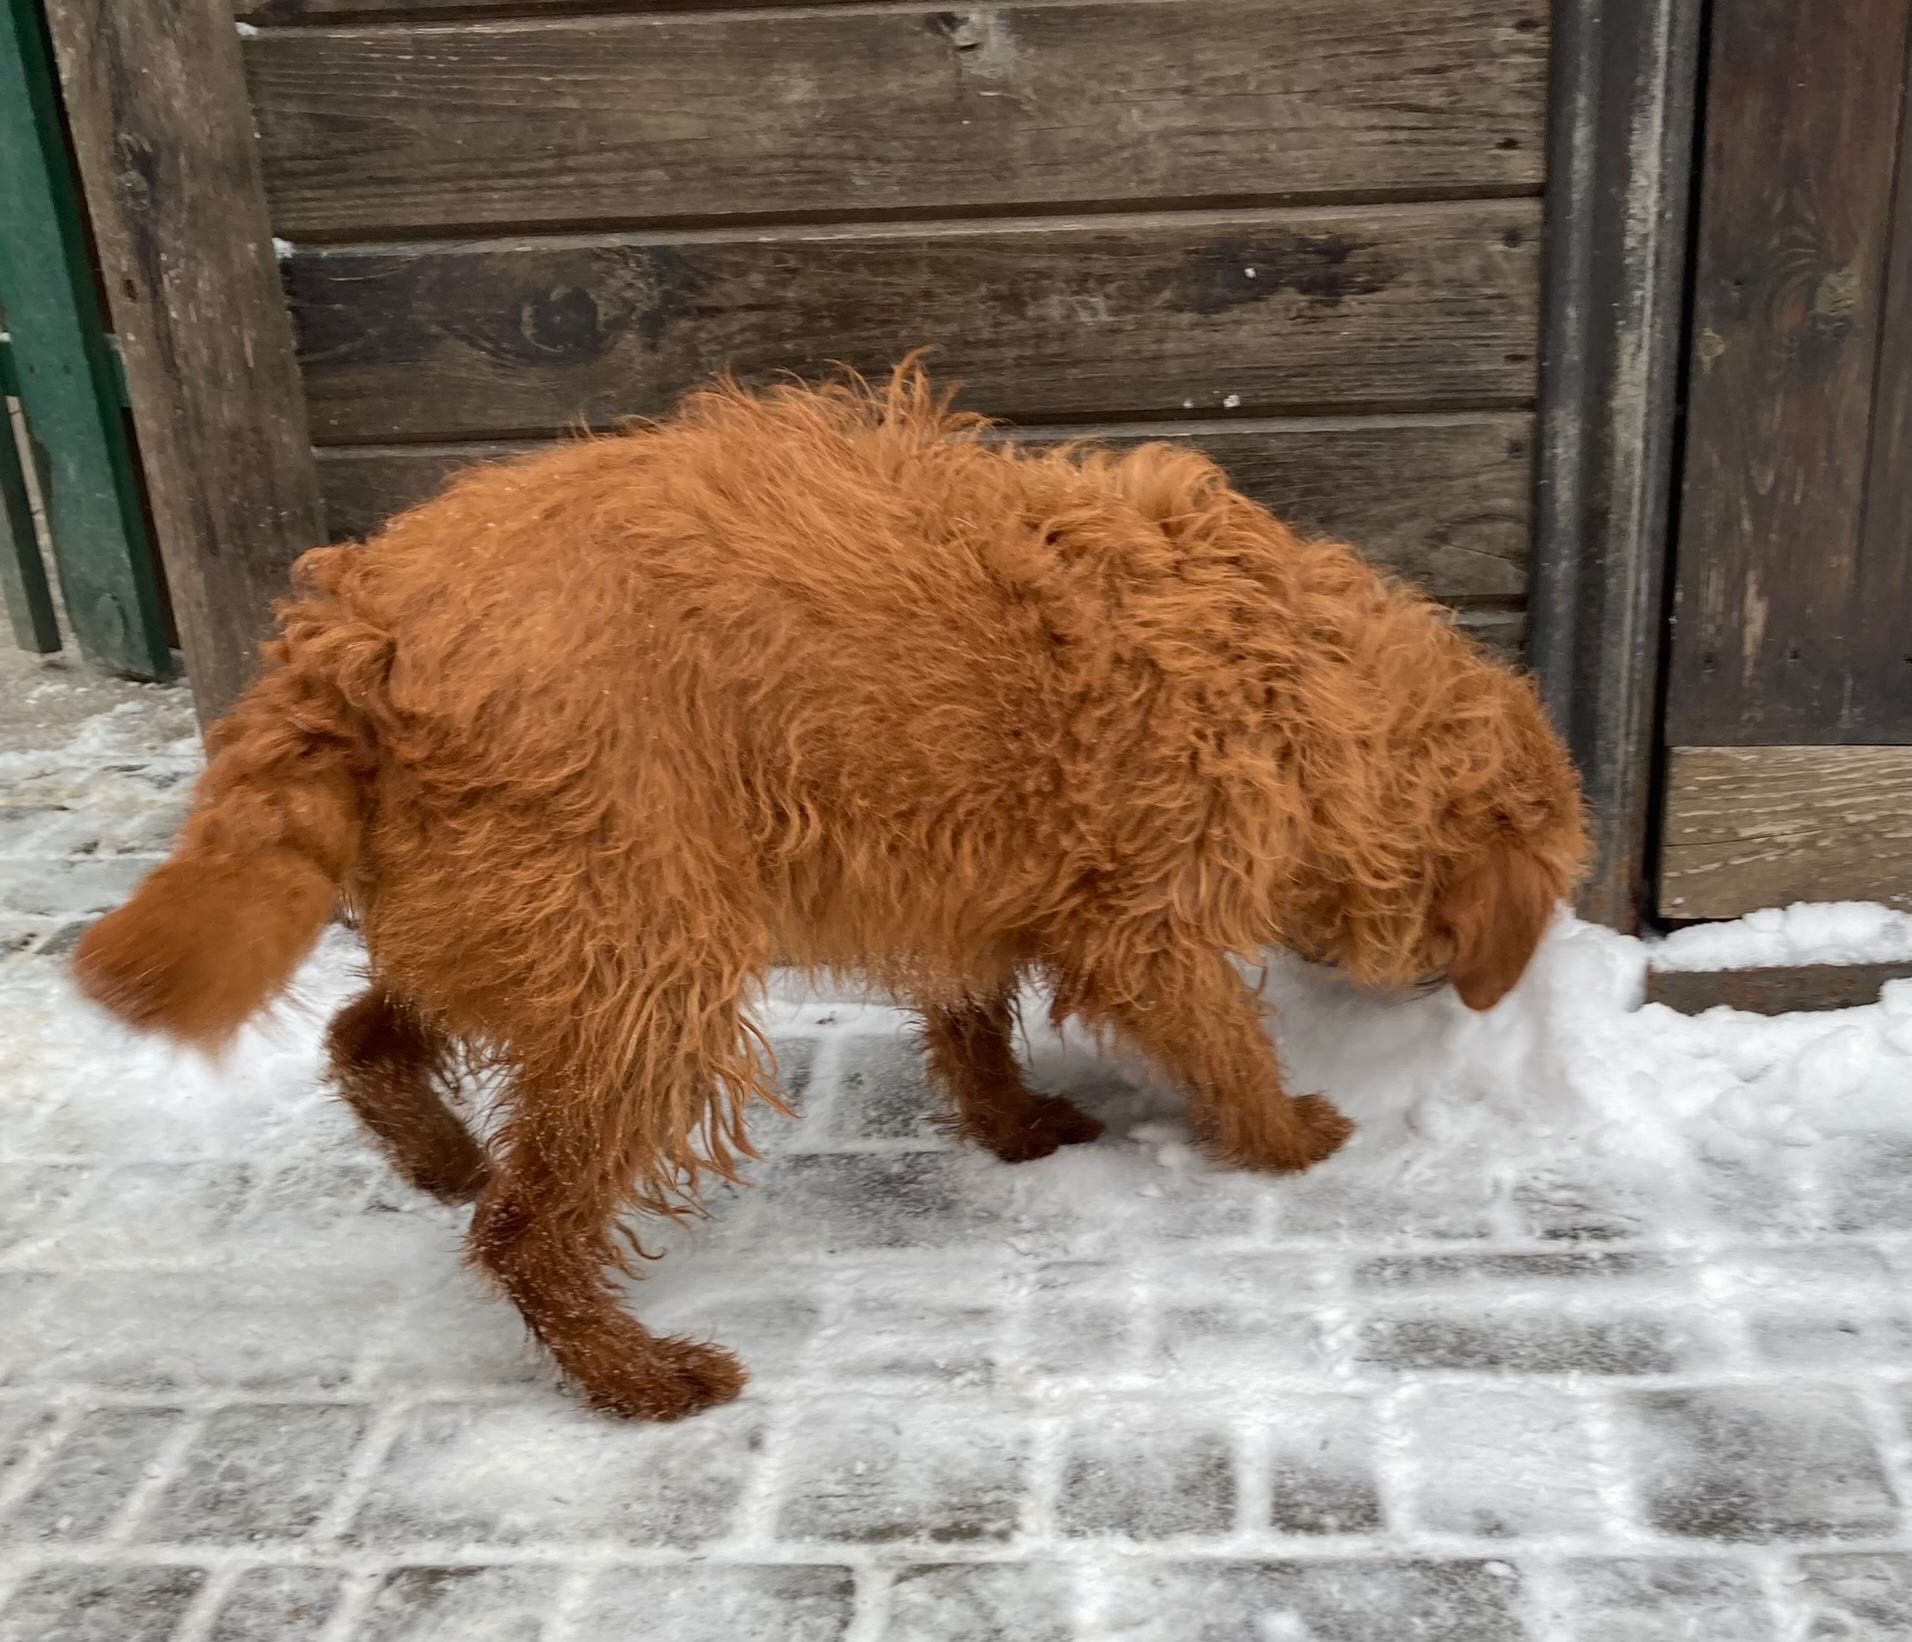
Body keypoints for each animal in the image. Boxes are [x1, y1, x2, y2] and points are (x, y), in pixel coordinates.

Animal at [78, 365, 1583, 1422]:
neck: (1301, 681)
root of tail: (360, 623)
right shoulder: (1140, 926)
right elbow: (1220, 1036)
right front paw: (1285, 1137)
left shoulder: (980, 881)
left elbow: (973, 1019)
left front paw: (1011, 1123)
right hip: (644, 969)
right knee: (524, 1227)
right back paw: (634, 1374)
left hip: (524, 923)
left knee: (364, 1037)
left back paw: (443, 1154)